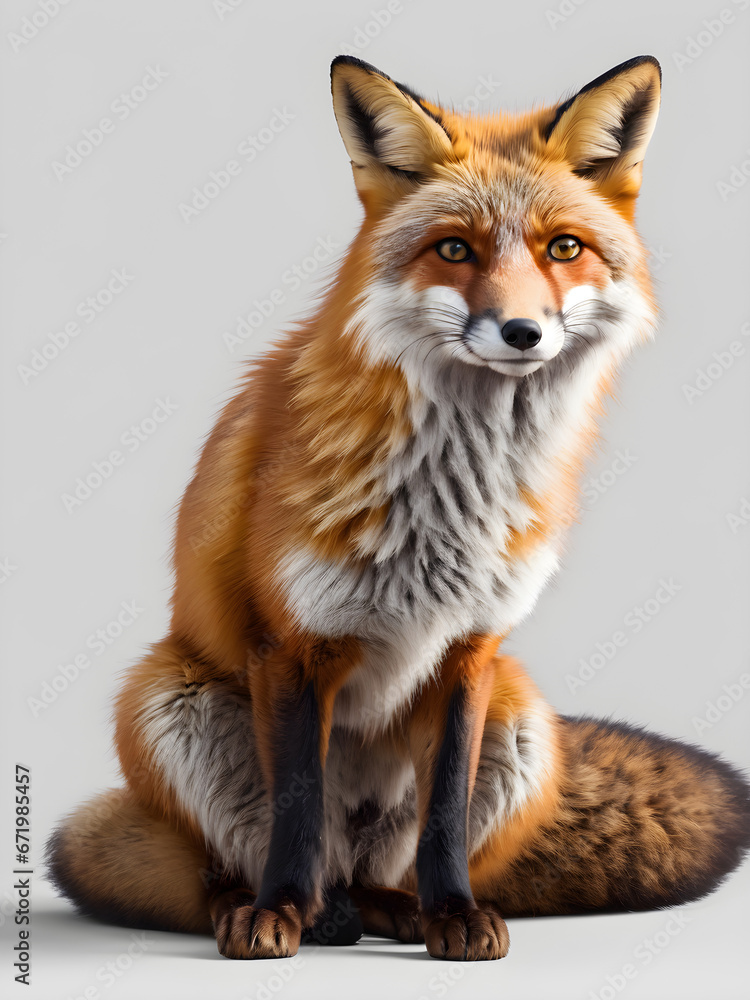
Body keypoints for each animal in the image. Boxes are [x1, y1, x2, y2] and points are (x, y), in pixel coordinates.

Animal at [47, 55, 750, 963]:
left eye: (564, 248)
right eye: (454, 248)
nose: (522, 332)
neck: (451, 497)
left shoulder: (470, 653)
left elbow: (444, 814)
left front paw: (453, 916)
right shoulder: (291, 646)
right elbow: (297, 813)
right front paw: (277, 913)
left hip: (522, 714)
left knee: (384, 869)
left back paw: (397, 909)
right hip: (166, 696)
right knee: (244, 866)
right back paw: (287, 909)